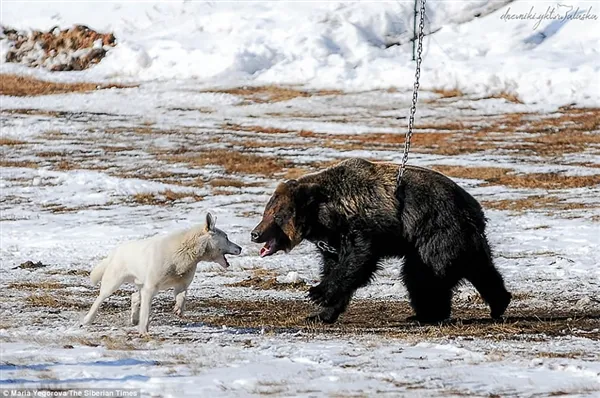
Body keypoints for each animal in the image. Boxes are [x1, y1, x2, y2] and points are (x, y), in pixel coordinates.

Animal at [82, 213, 241, 334]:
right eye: (227, 237)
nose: (240, 248)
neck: (185, 253)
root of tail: (116, 251)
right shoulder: (150, 289)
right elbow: (146, 313)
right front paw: (143, 331)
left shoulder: (181, 285)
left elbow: (183, 297)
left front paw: (178, 309)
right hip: (113, 284)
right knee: (100, 299)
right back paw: (87, 320)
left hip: (142, 285)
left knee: (134, 296)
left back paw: (134, 319)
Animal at [250, 158, 510, 324]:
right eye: (266, 212)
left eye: (276, 216)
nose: (255, 233)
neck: (325, 219)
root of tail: (473, 209)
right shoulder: (332, 242)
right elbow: (336, 266)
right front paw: (321, 313)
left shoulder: (362, 226)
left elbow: (357, 262)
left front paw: (318, 292)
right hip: (462, 240)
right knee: (481, 269)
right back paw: (499, 302)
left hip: (436, 232)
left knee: (422, 276)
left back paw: (427, 314)